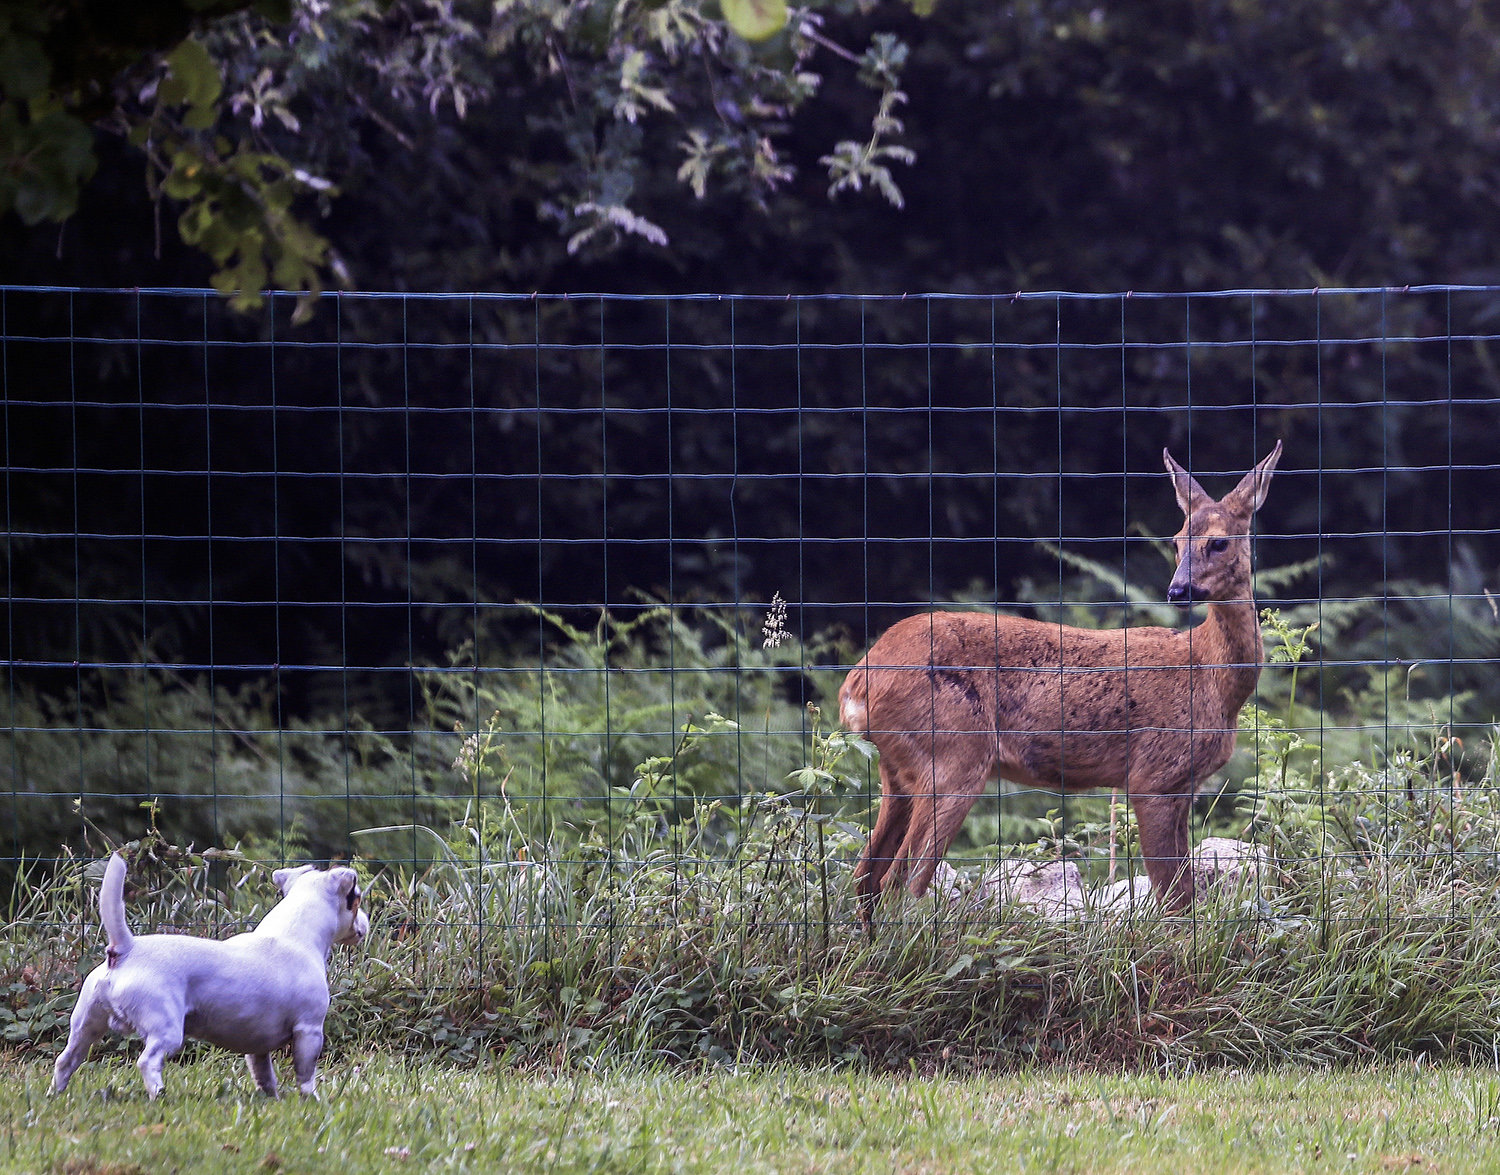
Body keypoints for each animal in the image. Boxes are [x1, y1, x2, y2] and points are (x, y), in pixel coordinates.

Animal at [54, 852, 370, 1098]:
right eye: (356, 900)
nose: (366, 922)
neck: (295, 934)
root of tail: (124, 949)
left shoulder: (258, 1047)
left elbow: (264, 1077)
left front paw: (272, 1101)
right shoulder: (309, 1030)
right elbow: (305, 1075)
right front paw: (311, 1100)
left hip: (86, 1026)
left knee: (65, 1060)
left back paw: (55, 1095)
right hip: (166, 1029)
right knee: (147, 1061)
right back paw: (159, 1095)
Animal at [840, 441, 1284, 918]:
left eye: (1218, 542)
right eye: (1177, 540)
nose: (1176, 590)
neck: (1208, 675)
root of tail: (856, 683)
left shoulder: (1183, 785)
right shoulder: (1154, 775)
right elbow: (1175, 897)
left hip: (899, 770)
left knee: (865, 877)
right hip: (954, 755)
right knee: (899, 881)